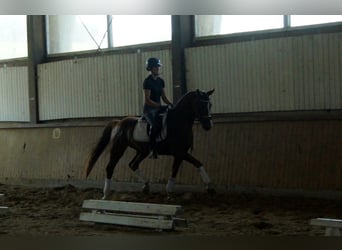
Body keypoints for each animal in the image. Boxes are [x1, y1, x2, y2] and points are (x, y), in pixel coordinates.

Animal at [84, 89, 215, 198]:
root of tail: (119, 122)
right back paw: (106, 194)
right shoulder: (179, 152)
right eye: (200, 104)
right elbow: (197, 163)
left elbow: (177, 170)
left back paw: (146, 186)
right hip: (119, 148)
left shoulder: (180, 154)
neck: (178, 122)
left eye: (210, 105)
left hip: (142, 151)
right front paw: (209, 186)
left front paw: (170, 190)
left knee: (133, 164)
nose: (208, 126)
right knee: (110, 167)